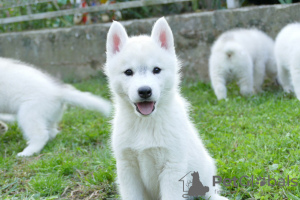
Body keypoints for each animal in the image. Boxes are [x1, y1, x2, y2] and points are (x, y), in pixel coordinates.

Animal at [105, 18, 227, 199]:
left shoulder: (172, 167)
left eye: (156, 70)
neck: (145, 124)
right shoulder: (127, 167)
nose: (145, 91)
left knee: (209, 191)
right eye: (128, 72)